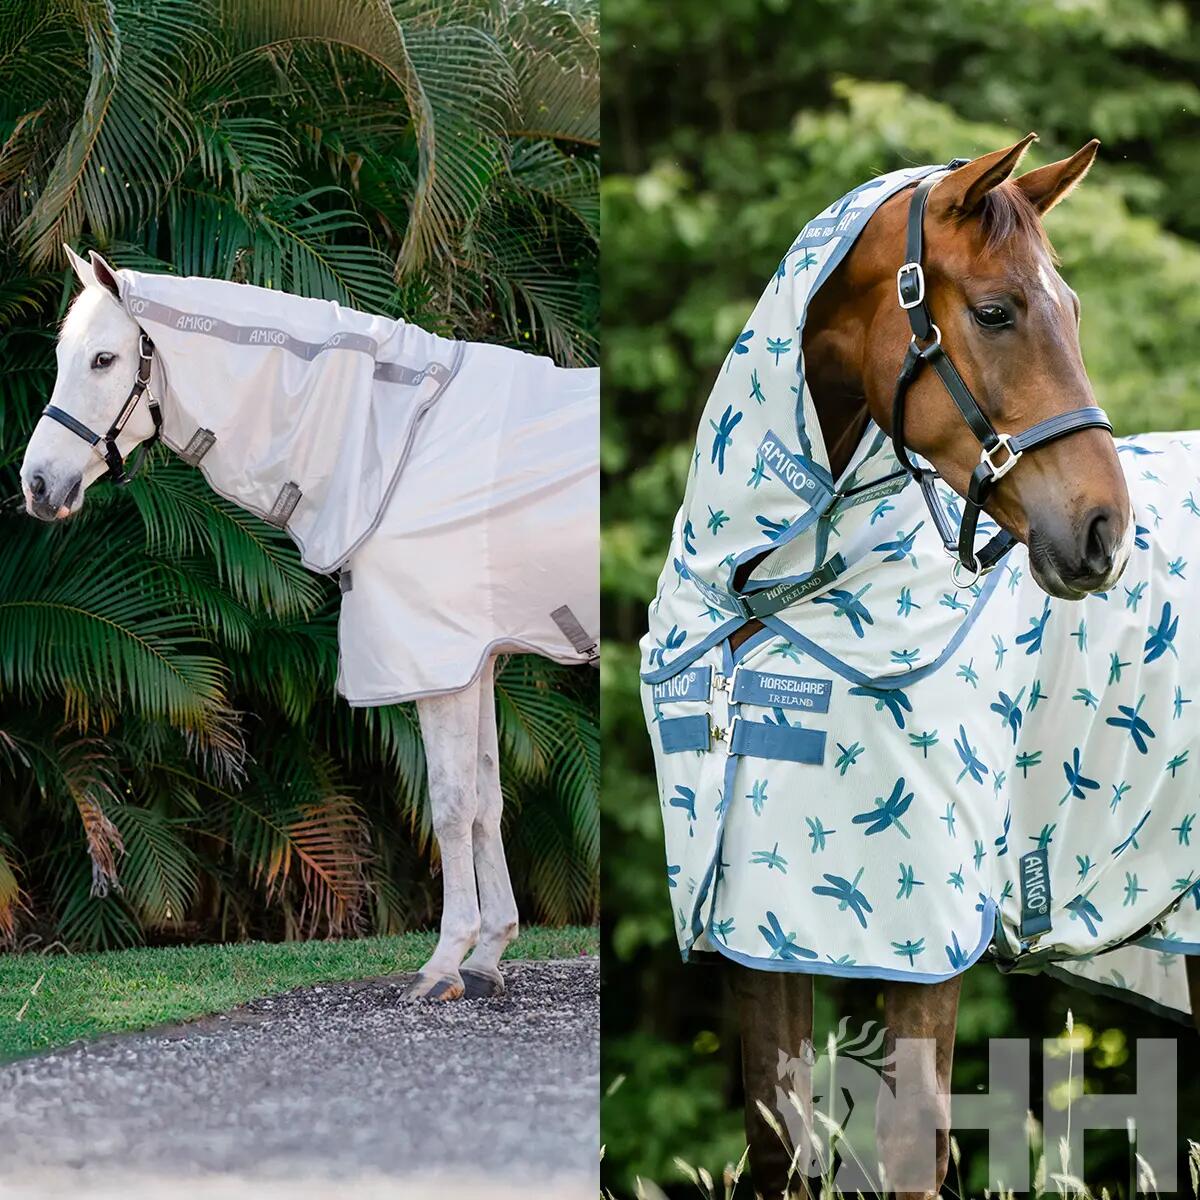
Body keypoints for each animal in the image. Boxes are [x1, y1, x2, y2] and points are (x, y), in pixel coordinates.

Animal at [21, 247, 598, 1003]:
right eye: (66, 356)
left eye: (104, 359)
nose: (36, 484)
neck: (401, 443)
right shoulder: (474, 661)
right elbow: (487, 802)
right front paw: (487, 956)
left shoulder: (436, 663)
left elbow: (450, 804)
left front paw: (445, 962)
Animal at [639, 137, 1200, 1198]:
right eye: (996, 311)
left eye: (1071, 309)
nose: (1103, 533)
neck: (761, 603)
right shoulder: (755, 938)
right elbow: (779, 1140)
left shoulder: (927, 942)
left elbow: (908, 1143)